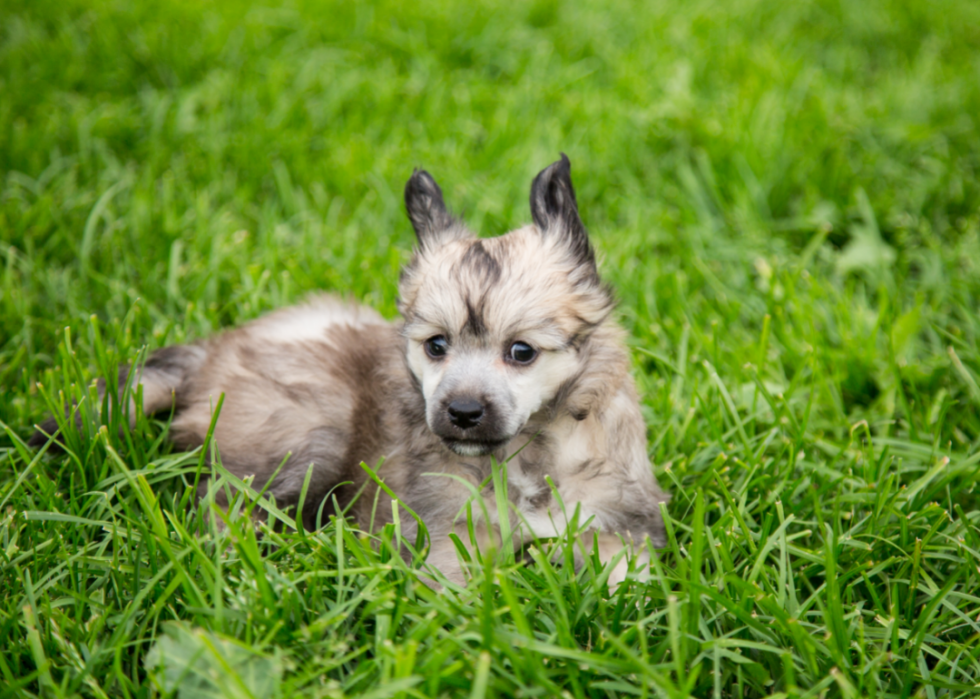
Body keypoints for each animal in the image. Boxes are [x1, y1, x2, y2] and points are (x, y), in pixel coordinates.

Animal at [32, 156, 672, 588]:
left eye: (522, 352)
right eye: (436, 346)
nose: (462, 413)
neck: (527, 454)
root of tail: (217, 348)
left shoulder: (620, 528)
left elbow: (629, 587)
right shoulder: (449, 531)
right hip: (309, 430)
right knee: (222, 504)